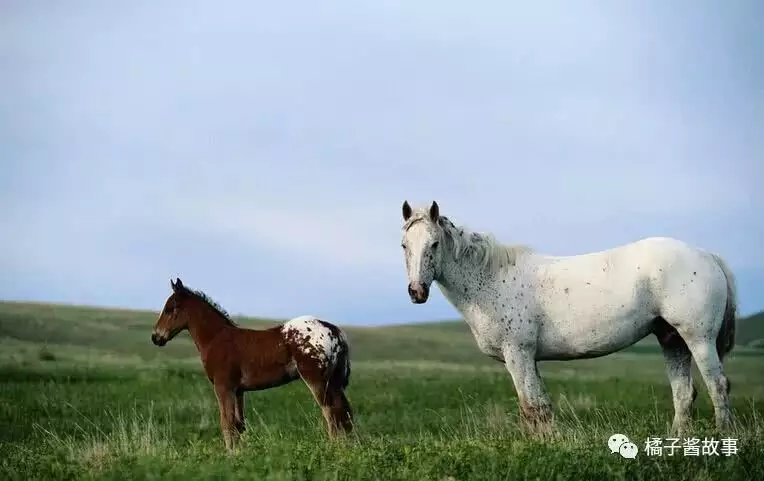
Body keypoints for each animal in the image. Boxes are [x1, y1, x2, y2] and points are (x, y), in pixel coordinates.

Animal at [396, 201, 736, 434]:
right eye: (404, 245)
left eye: (434, 244)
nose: (416, 291)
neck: (492, 279)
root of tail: (707, 255)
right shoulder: (527, 358)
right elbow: (540, 405)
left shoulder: (518, 353)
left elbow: (531, 405)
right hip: (672, 340)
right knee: (684, 393)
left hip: (698, 338)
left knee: (717, 385)